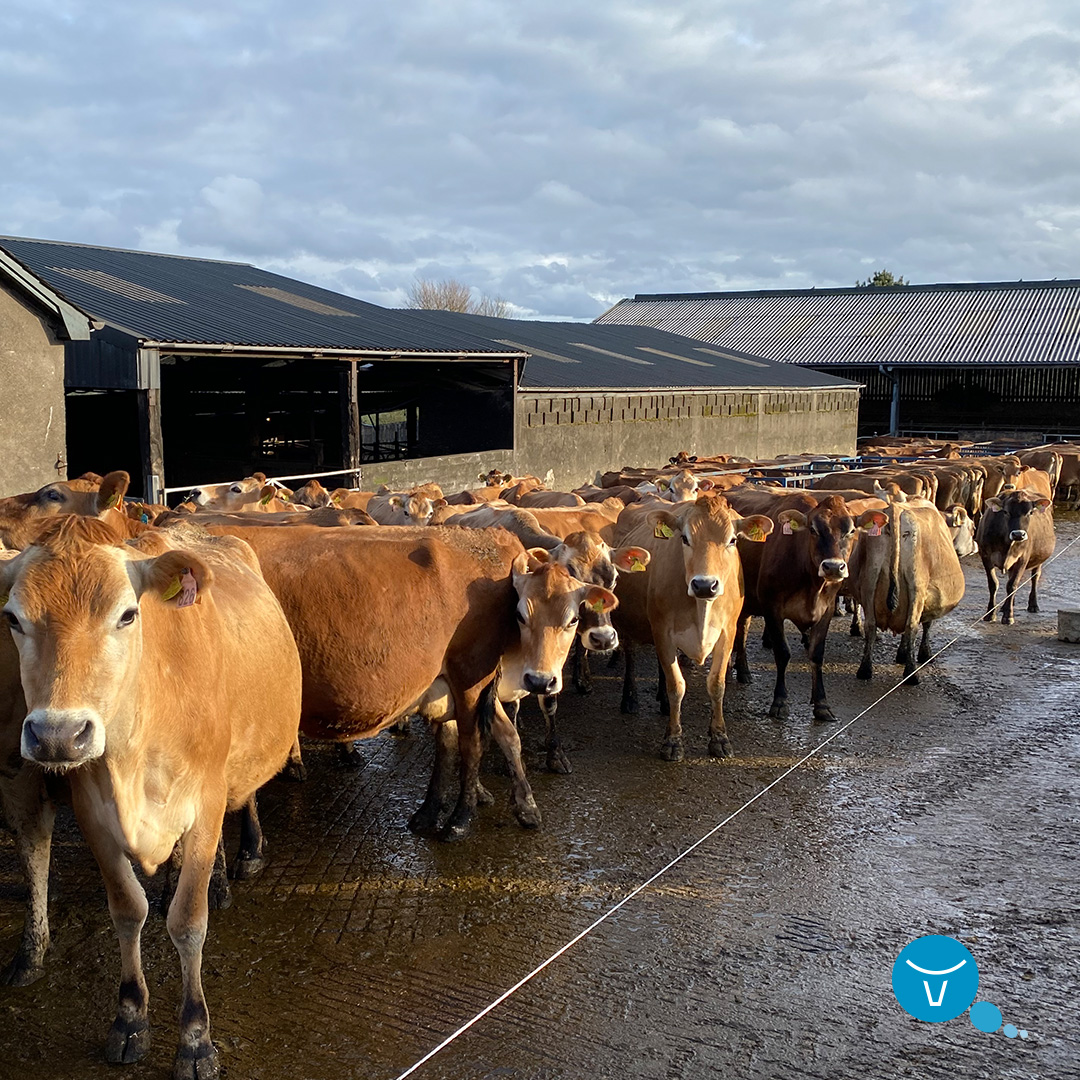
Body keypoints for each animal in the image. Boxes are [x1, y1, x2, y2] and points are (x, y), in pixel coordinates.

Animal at [0, 515, 302, 1079]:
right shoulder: (91, 813)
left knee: (245, 795)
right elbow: (126, 909)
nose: (57, 735)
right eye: (11, 617)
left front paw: (196, 1039)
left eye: (127, 614)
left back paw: (242, 858)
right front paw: (130, 1016)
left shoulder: (205, 802)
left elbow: (188, 921)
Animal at [611, 494, 773, 761]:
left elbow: (717, 684)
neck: (701, 608)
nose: (705, 585)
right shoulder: (663, 632)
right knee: (631, 655)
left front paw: (719, 737)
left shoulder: (727, 633)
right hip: (629, 622)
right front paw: (673, 741)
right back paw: (629, 699)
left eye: (732, 539)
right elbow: (676, 685)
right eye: (684, 538)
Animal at [848, 497, 966, 683]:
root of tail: (895, 509)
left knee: (871, 626)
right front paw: (923, 654)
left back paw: (865, 670)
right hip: (917, 585)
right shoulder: (930, 596)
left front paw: (902, 653)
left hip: (869, 581)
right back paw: (912, 675)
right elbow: (926, 624)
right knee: (912, 626)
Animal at [975, 488, 1055, 624]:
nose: (1018, 534)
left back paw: (1032, 605)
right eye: (1006, 512)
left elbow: (1012, 585)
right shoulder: (985, 556)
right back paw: (1005, 606)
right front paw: (990, 614)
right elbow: (993, 584)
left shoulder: (1022, 559)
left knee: (1034, 578)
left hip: (1038, 560)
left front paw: (1009, 616)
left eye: (1030, 512)